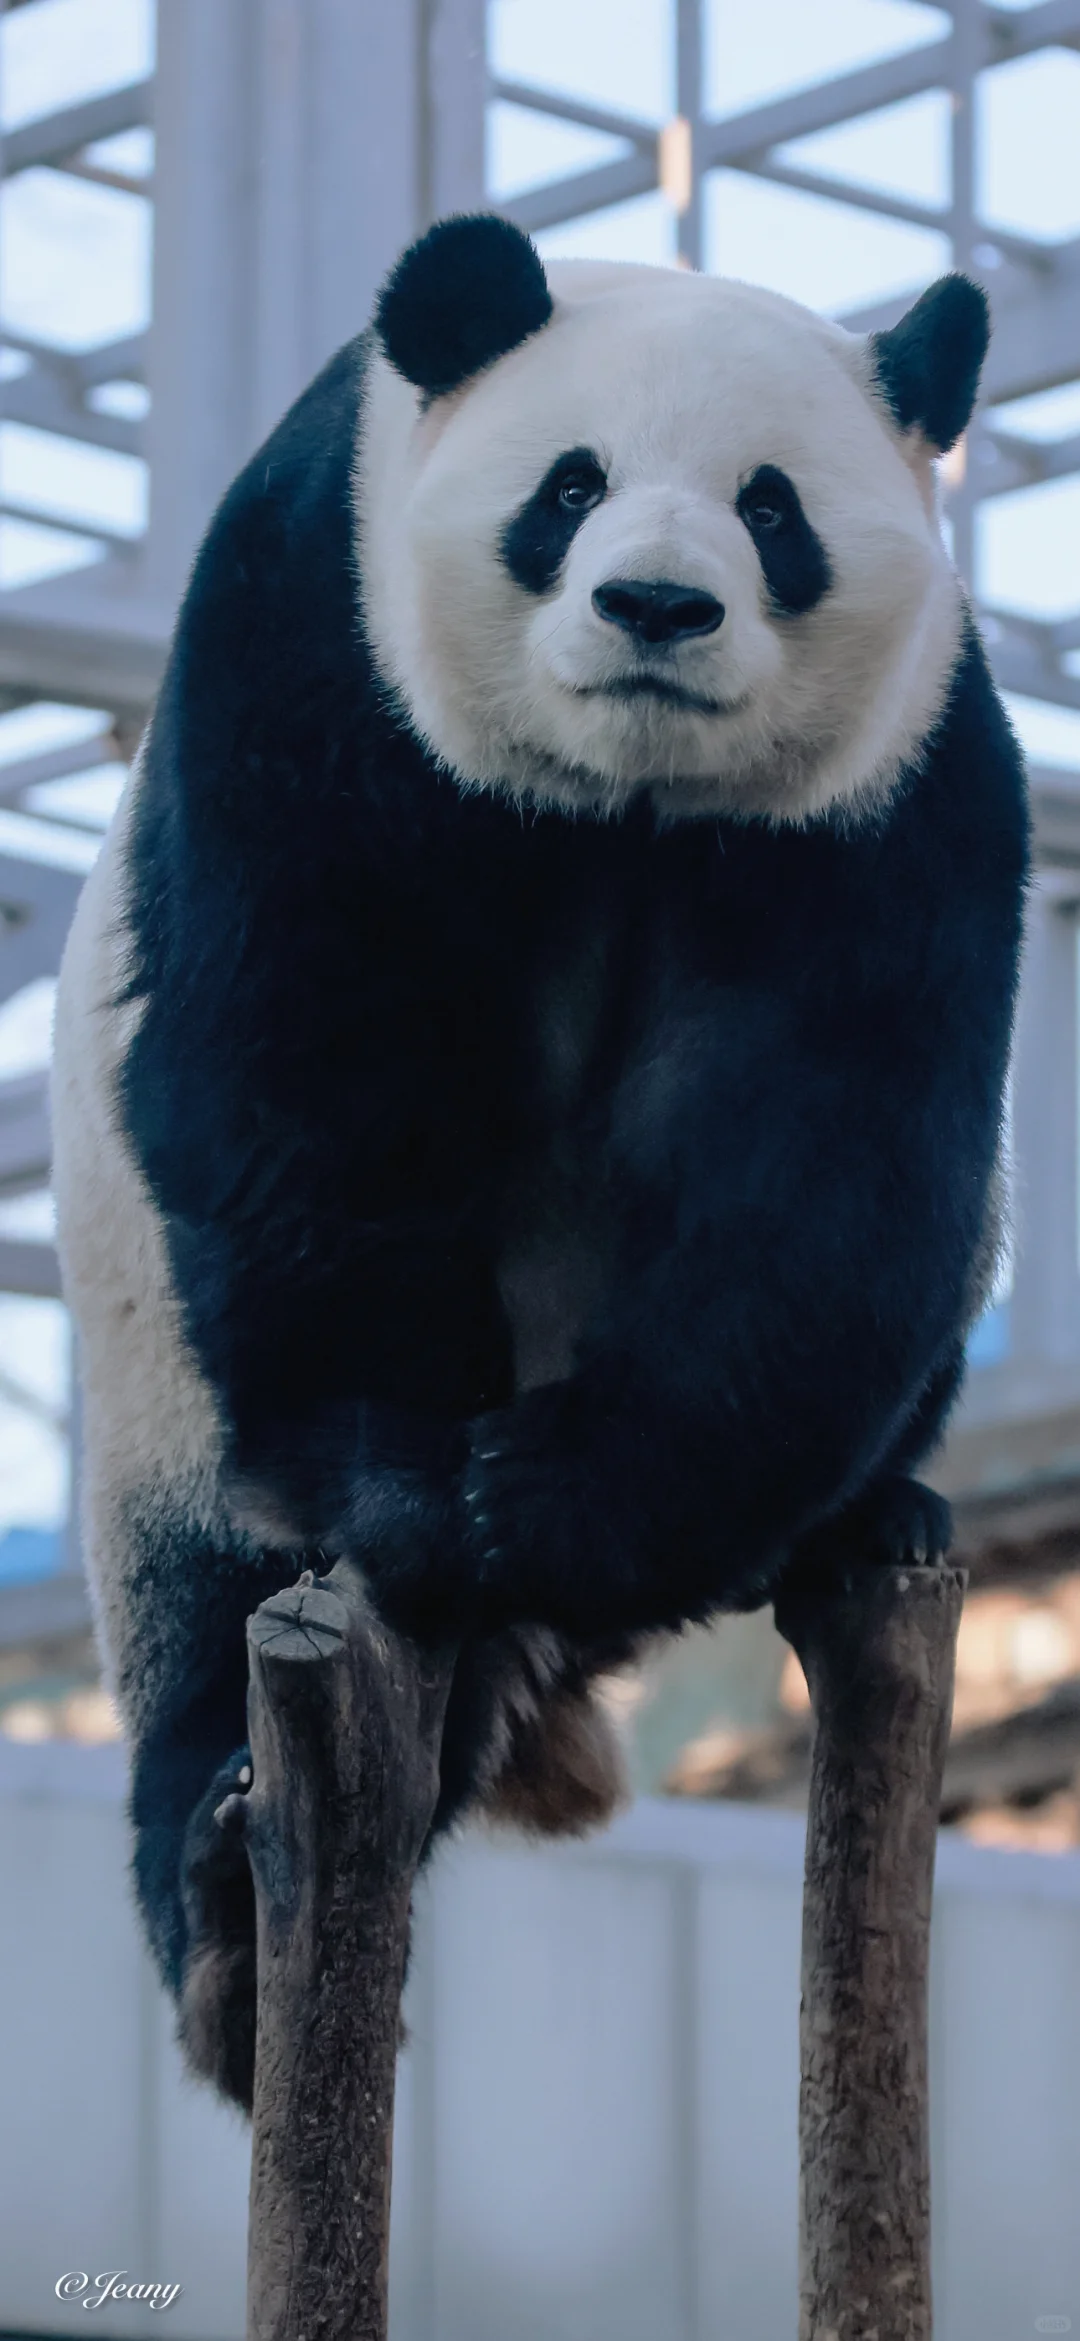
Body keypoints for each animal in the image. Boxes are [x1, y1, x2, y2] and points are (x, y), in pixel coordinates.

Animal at [50, 220, 1026, 2116]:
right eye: (568, 491)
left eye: (772, 510)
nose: (658, 607)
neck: (620, 801)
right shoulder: (316, 649)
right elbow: (306, 1075)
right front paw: (424, 1491)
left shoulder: (898, 791)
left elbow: (835, 1164)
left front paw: (541, 1502)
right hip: (154, 1392)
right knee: (195, 1611)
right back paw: (223, 1909)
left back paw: (854, 1519)